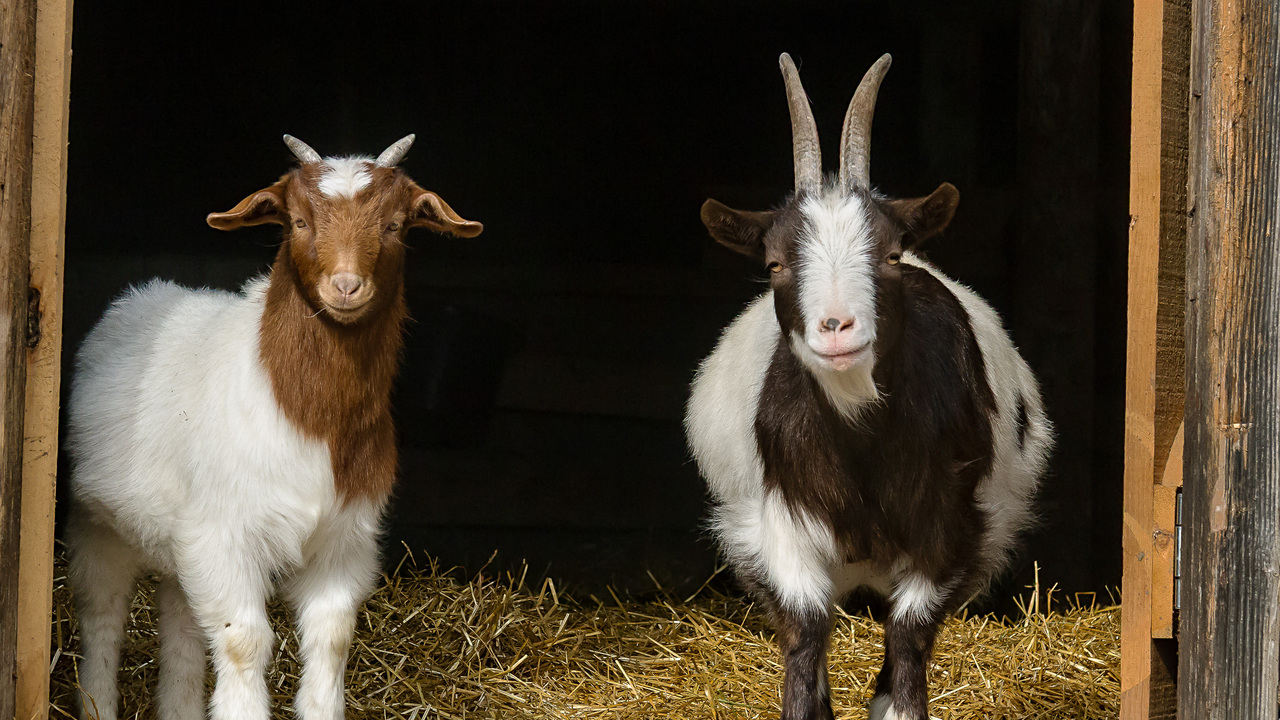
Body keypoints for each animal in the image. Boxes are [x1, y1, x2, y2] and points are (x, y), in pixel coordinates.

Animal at [66, 134, 482, 720]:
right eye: (299, 221)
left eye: (396, 224)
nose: (346, 286)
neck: (309, 417)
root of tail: (145, 294)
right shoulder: (225, 533)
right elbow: (243, 641)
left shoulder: (342, 539)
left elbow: (333, 636)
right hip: (98, 523)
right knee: (101, 611)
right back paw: (97, 703)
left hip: (179, 539)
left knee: (181, 621)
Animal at [685, 54, 1052, 720]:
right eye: (775, 263)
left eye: (892, 255)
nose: (836, 326)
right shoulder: (781, 530)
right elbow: (805, 637)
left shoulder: (952, 532)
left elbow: (908, 644)